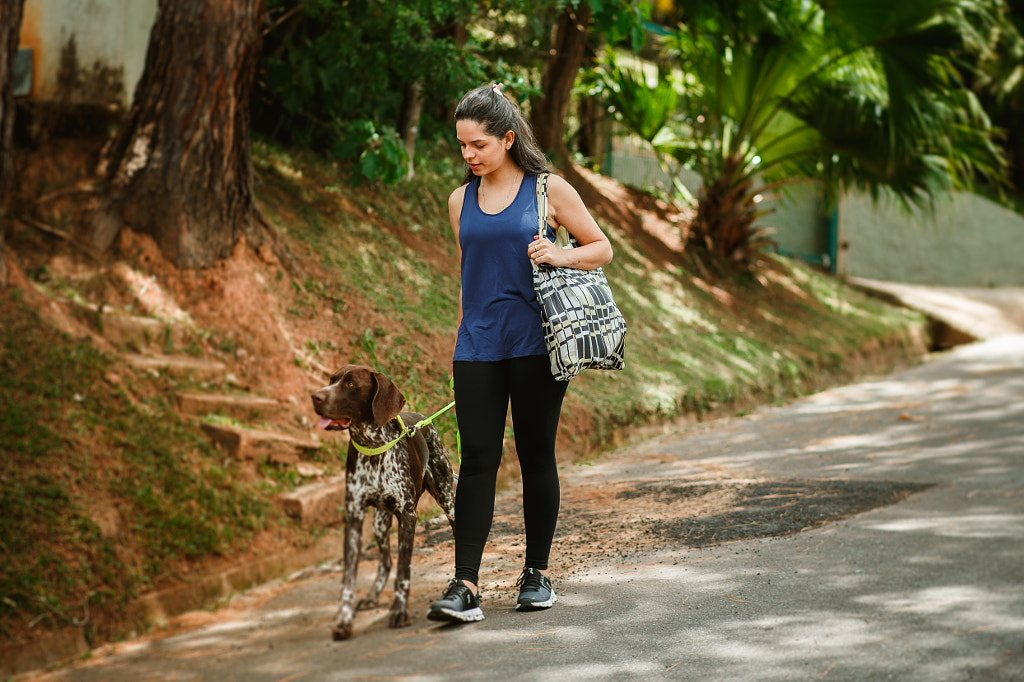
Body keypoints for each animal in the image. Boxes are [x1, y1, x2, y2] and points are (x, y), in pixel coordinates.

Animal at [309, 364, 458, 638]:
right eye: (331, 380)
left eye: (350, 384)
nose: (316, 397)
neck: (373, 447)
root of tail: (423, 420)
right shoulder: (354, 519)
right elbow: (349, 578)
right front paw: (343, 620)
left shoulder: (408, 515)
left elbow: (404, 571)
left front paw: (400, 612)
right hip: (379, 522)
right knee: (386, 560)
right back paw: (372, 596)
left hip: (447, 498)